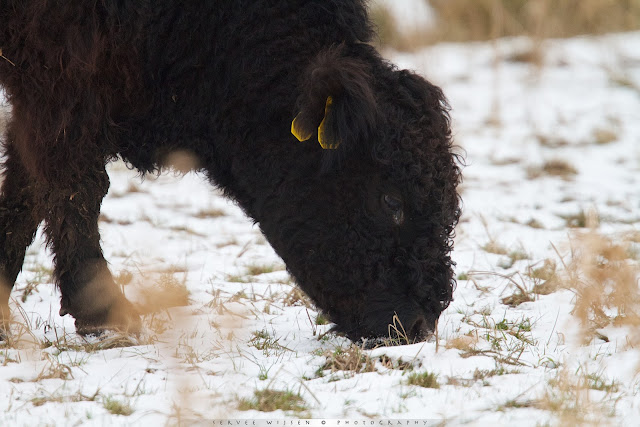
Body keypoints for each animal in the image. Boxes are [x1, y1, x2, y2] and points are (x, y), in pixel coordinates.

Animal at [0, 0, 460, 344]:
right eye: (391, 199)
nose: (418, 325)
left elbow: (24, 194)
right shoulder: (60, 82)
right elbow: (74, 187)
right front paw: (107, 315)